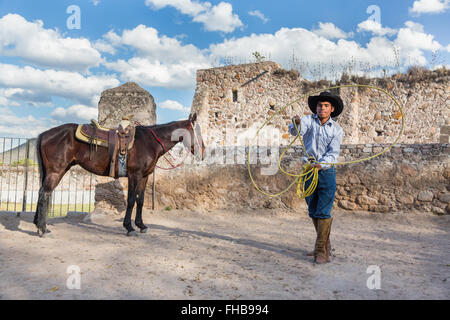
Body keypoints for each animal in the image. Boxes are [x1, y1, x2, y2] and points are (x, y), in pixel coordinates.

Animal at [33, 114, 206, 236]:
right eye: (197, 131)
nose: (203, 152)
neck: (149, 143)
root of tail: (45, 134)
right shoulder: (135, 175)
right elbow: (131, 200)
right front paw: (129, 227)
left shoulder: (145, 177)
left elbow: (140, 200)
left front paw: (141, 225)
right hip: (56, 171)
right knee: (44, 194)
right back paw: (42, 229)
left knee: (42, 192)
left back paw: (38, 224)